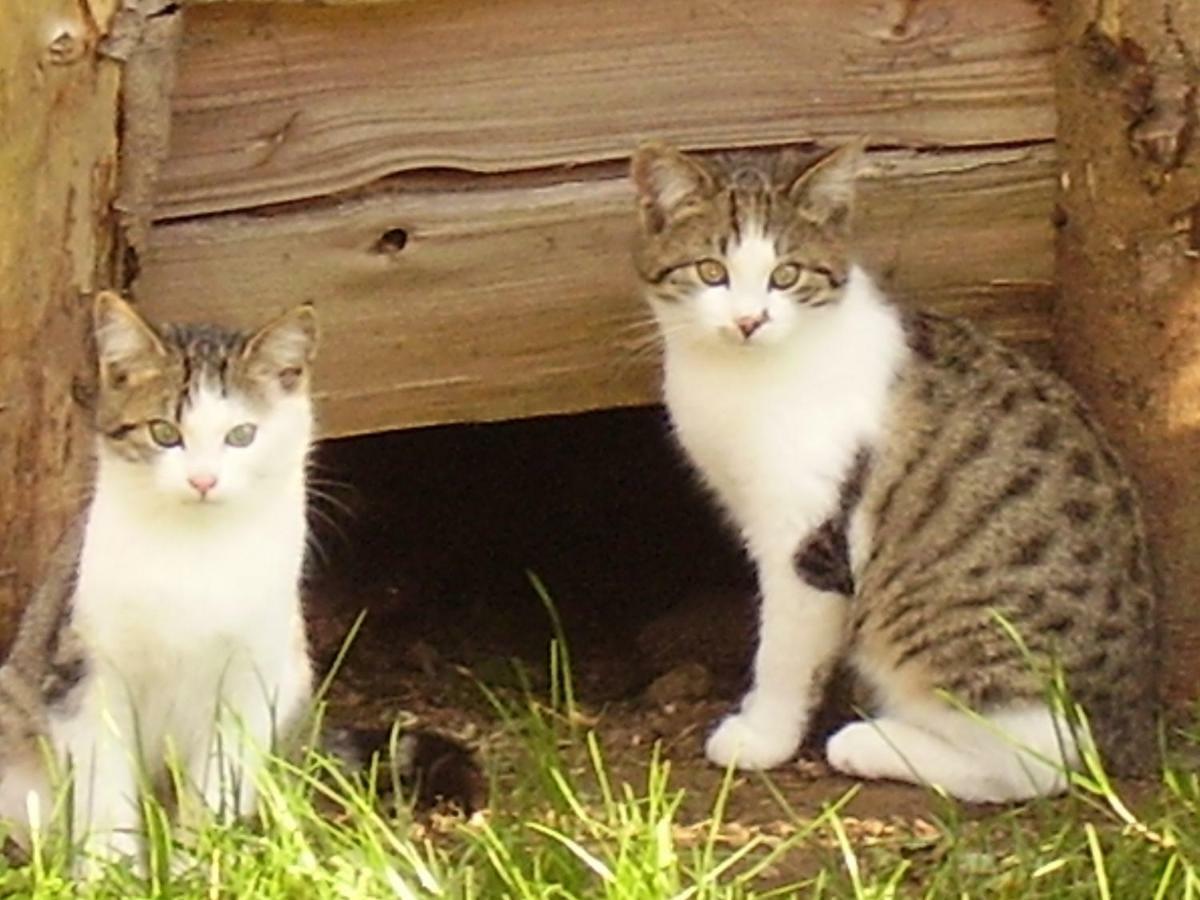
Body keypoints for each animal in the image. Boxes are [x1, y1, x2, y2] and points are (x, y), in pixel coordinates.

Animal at [0, 294, 316, 859]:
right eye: (164, 433)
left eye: (242, 435)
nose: (203, 480)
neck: (193, 550)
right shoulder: (86, 671)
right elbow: (105, 791)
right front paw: (112, 867)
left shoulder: (249, 681)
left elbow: (216, 787)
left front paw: (202, 863)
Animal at [633, 141, 1156, 801]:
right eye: (710, 271)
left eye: (786, 275)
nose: (749, 321)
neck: (738, 374)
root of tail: (1129, 721)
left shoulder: (806, 533)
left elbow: (784, 652)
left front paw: (762, 736)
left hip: (952, 635)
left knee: (1038, 759)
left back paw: (868, 744)